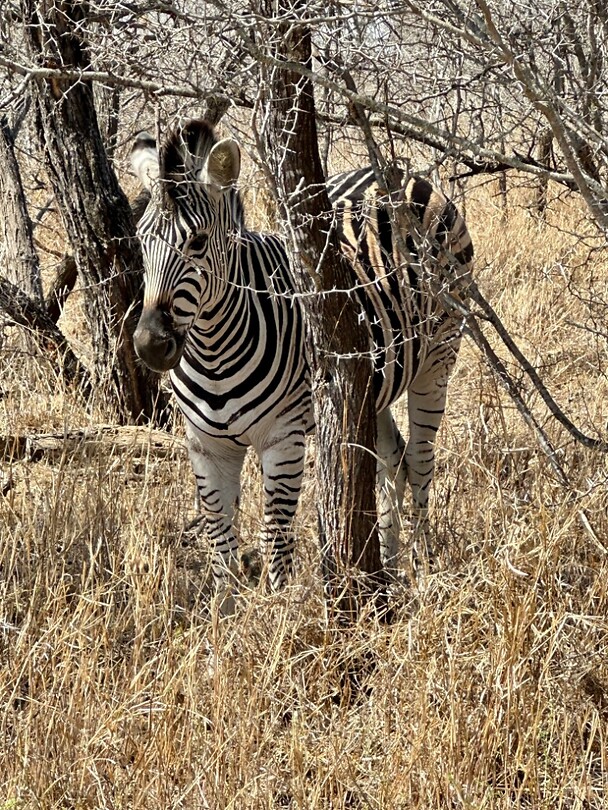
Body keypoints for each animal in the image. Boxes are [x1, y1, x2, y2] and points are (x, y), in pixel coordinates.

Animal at [131, 119, 473, 610]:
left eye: (197, 243)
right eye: (140, 242)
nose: (150, 346)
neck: (213, 351)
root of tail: (397, 172)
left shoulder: (283, 438)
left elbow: (274, 535)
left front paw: (280, 613)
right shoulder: (205, 445)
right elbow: (219, 540)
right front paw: (226, 617)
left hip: (438, 358)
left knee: (421, 459)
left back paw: (422, 565)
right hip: (369, 381)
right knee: (392, 459)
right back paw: (389, 567)